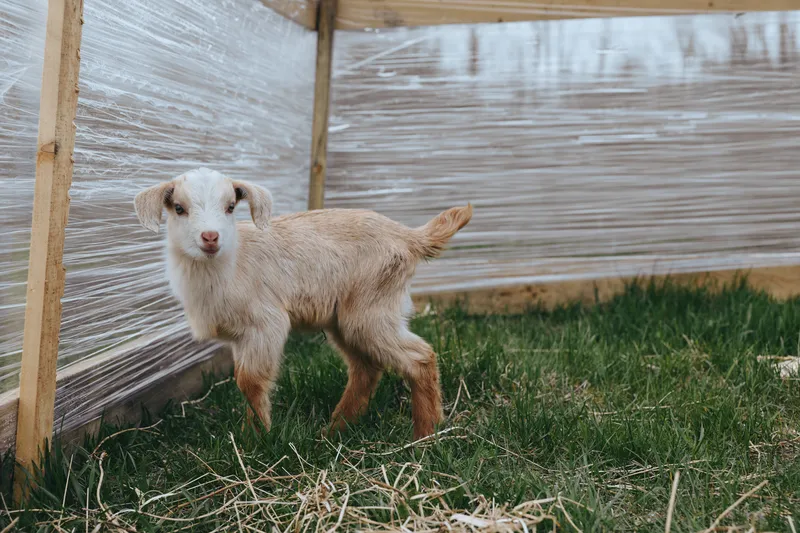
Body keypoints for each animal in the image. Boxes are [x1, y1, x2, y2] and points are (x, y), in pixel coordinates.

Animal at [134, 167, 472, 439]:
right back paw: (336, 428)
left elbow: (249, 381)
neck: (230, 263)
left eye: (230, 207)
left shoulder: (265, 323)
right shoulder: (240, 338)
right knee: (366, 368)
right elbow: (243, 380)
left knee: (420, 357)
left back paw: (425, 434)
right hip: (345, 320)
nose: (210, 237)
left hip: (372, 308)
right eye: (179, 208)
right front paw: (249, 435)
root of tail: (409, 237)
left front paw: (256, 440)